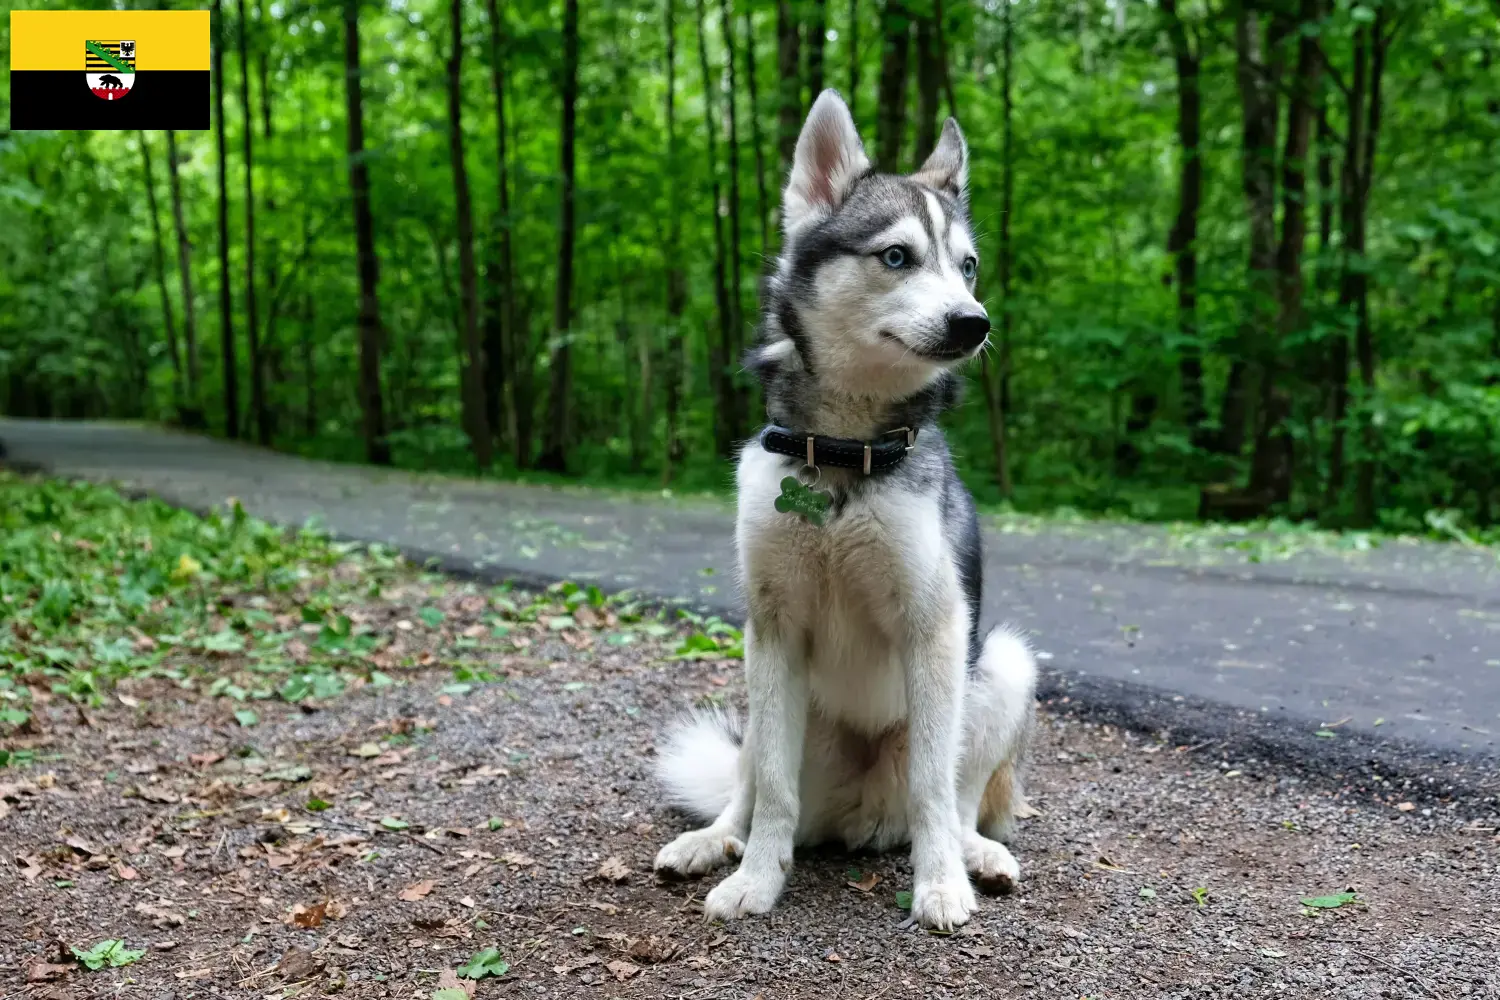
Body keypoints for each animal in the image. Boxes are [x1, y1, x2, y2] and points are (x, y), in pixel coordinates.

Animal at [651, 89, 1038, 935]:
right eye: (896, 257)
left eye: (967, 266)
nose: (975, 322)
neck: (838, 458)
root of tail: (859, 815)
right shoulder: (773, 628)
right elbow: (772, 789)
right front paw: (756, 881)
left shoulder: (936, 629)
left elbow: (933, 786)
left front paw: (940, 885)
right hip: (766, 690)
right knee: (750, 785)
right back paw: (714, 840)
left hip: (1002, 663)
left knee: (959, 796)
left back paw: (975, 853)